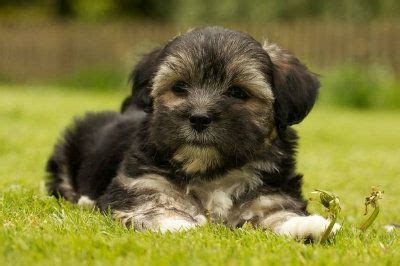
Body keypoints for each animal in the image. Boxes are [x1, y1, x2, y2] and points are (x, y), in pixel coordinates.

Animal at [47, 26, 340, 239]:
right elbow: (153, 206)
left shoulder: (270, 193)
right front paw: (181, 225)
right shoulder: (143, 183)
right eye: (179, 87)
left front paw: (312, 226)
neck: (213, 171)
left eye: (238, 92)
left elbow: (278, 213)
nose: (199, 118)